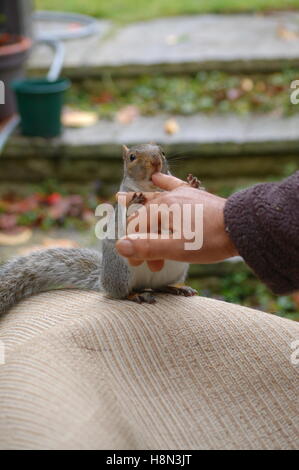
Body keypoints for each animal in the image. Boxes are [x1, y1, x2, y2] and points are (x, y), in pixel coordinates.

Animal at [0, 143, 204, 312]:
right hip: (121, 272)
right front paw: (136, 201)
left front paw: (193, 184)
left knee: (158, 286)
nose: (155, 161)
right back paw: (136, 295)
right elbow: (128, 222)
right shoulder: (122, 214)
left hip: (176, 270)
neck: (151, 190)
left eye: (162, 152)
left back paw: (176, 289)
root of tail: (103, 280)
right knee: (120, 294)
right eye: (132, 157)